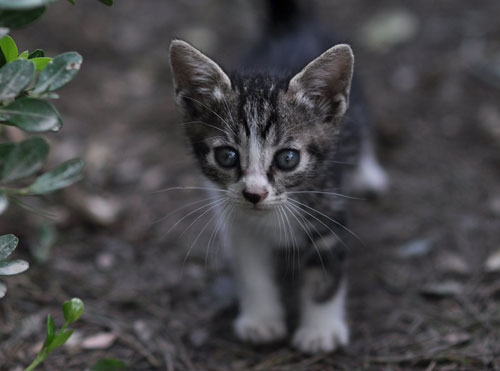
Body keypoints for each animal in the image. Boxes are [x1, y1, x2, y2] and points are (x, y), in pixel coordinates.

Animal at [168, 0, 386, 354]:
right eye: (227, 156)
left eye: (287, 158)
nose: (254, 194)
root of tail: (291, 25)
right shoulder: (238, 226)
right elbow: (253, 274)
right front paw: (261, 320)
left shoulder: (330, 210)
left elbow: (325, 277)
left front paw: (320, 330)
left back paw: (368, 172)